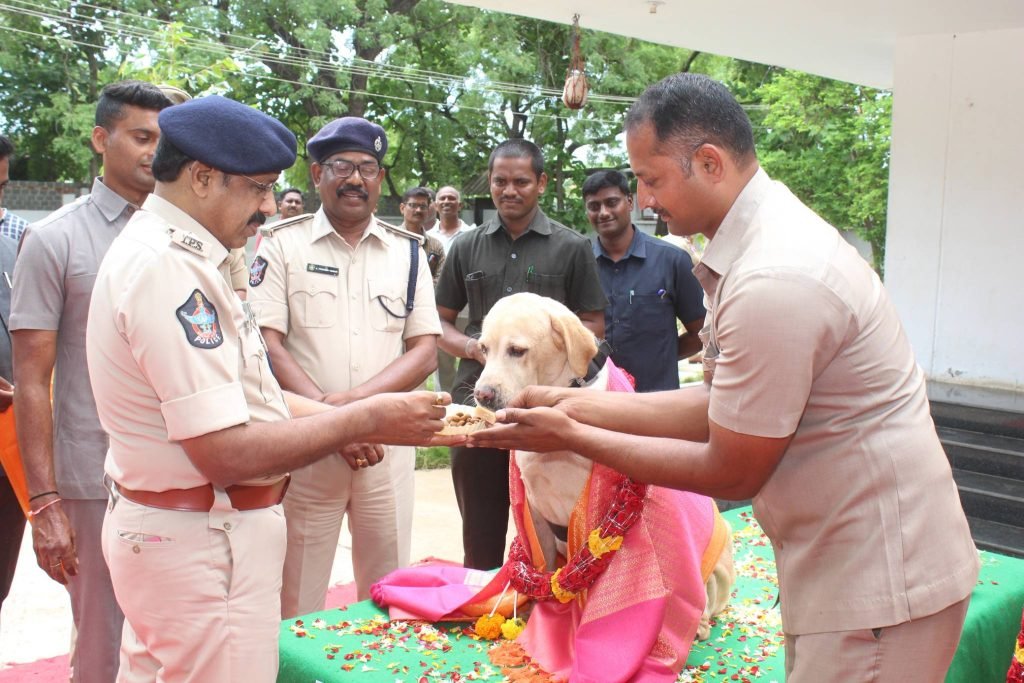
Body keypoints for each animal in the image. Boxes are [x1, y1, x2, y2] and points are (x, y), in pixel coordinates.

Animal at [475, 292, 733, 663]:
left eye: (517, 350)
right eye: (483, 348)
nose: (481, 395)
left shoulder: (592, 510)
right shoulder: (534, 514)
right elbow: (542, 569)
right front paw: (537, 614)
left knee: (705, 600)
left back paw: (695, 625)